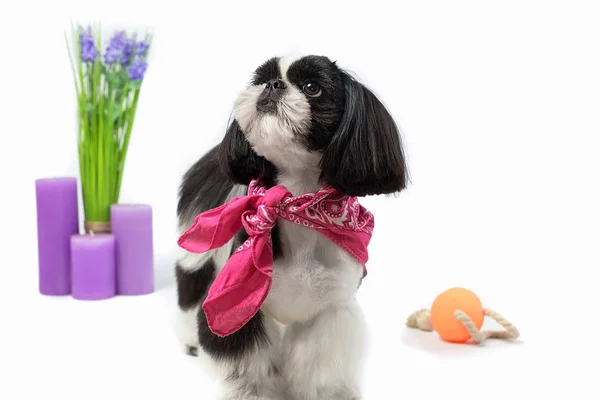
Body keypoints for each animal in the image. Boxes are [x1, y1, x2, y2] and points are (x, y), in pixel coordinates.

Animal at [173, 54, 408, 400]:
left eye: (312, 87)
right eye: (260, 78)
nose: (273, 84)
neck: (296, 203)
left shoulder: (331, 312)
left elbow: (321, 368)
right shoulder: (239, 307)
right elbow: (247, 368)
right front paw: (250, 393)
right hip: (200, 251)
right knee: (191, 285)